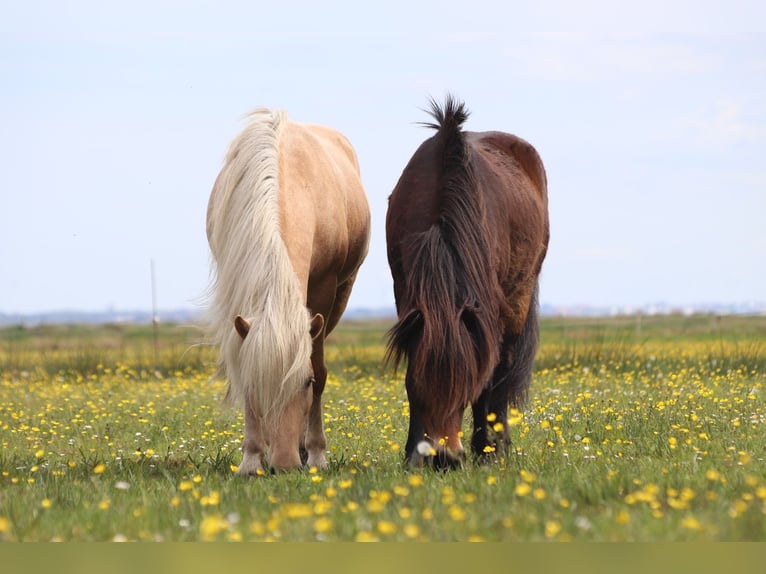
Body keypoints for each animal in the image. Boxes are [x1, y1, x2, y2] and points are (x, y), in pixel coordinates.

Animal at [204, 108, 372, 472]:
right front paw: (252, 457)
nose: (284, 464)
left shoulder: (324, 288)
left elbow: (320, 370)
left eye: (304, 383)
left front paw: (317, 453)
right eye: (255, 384)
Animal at [388, 97, 548, 470]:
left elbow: (487, 382)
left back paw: (494, 448)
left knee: (500, 375)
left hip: (517, 303)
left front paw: (487, 451)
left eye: (464, 388)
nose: (443, 457)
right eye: (419, 382)